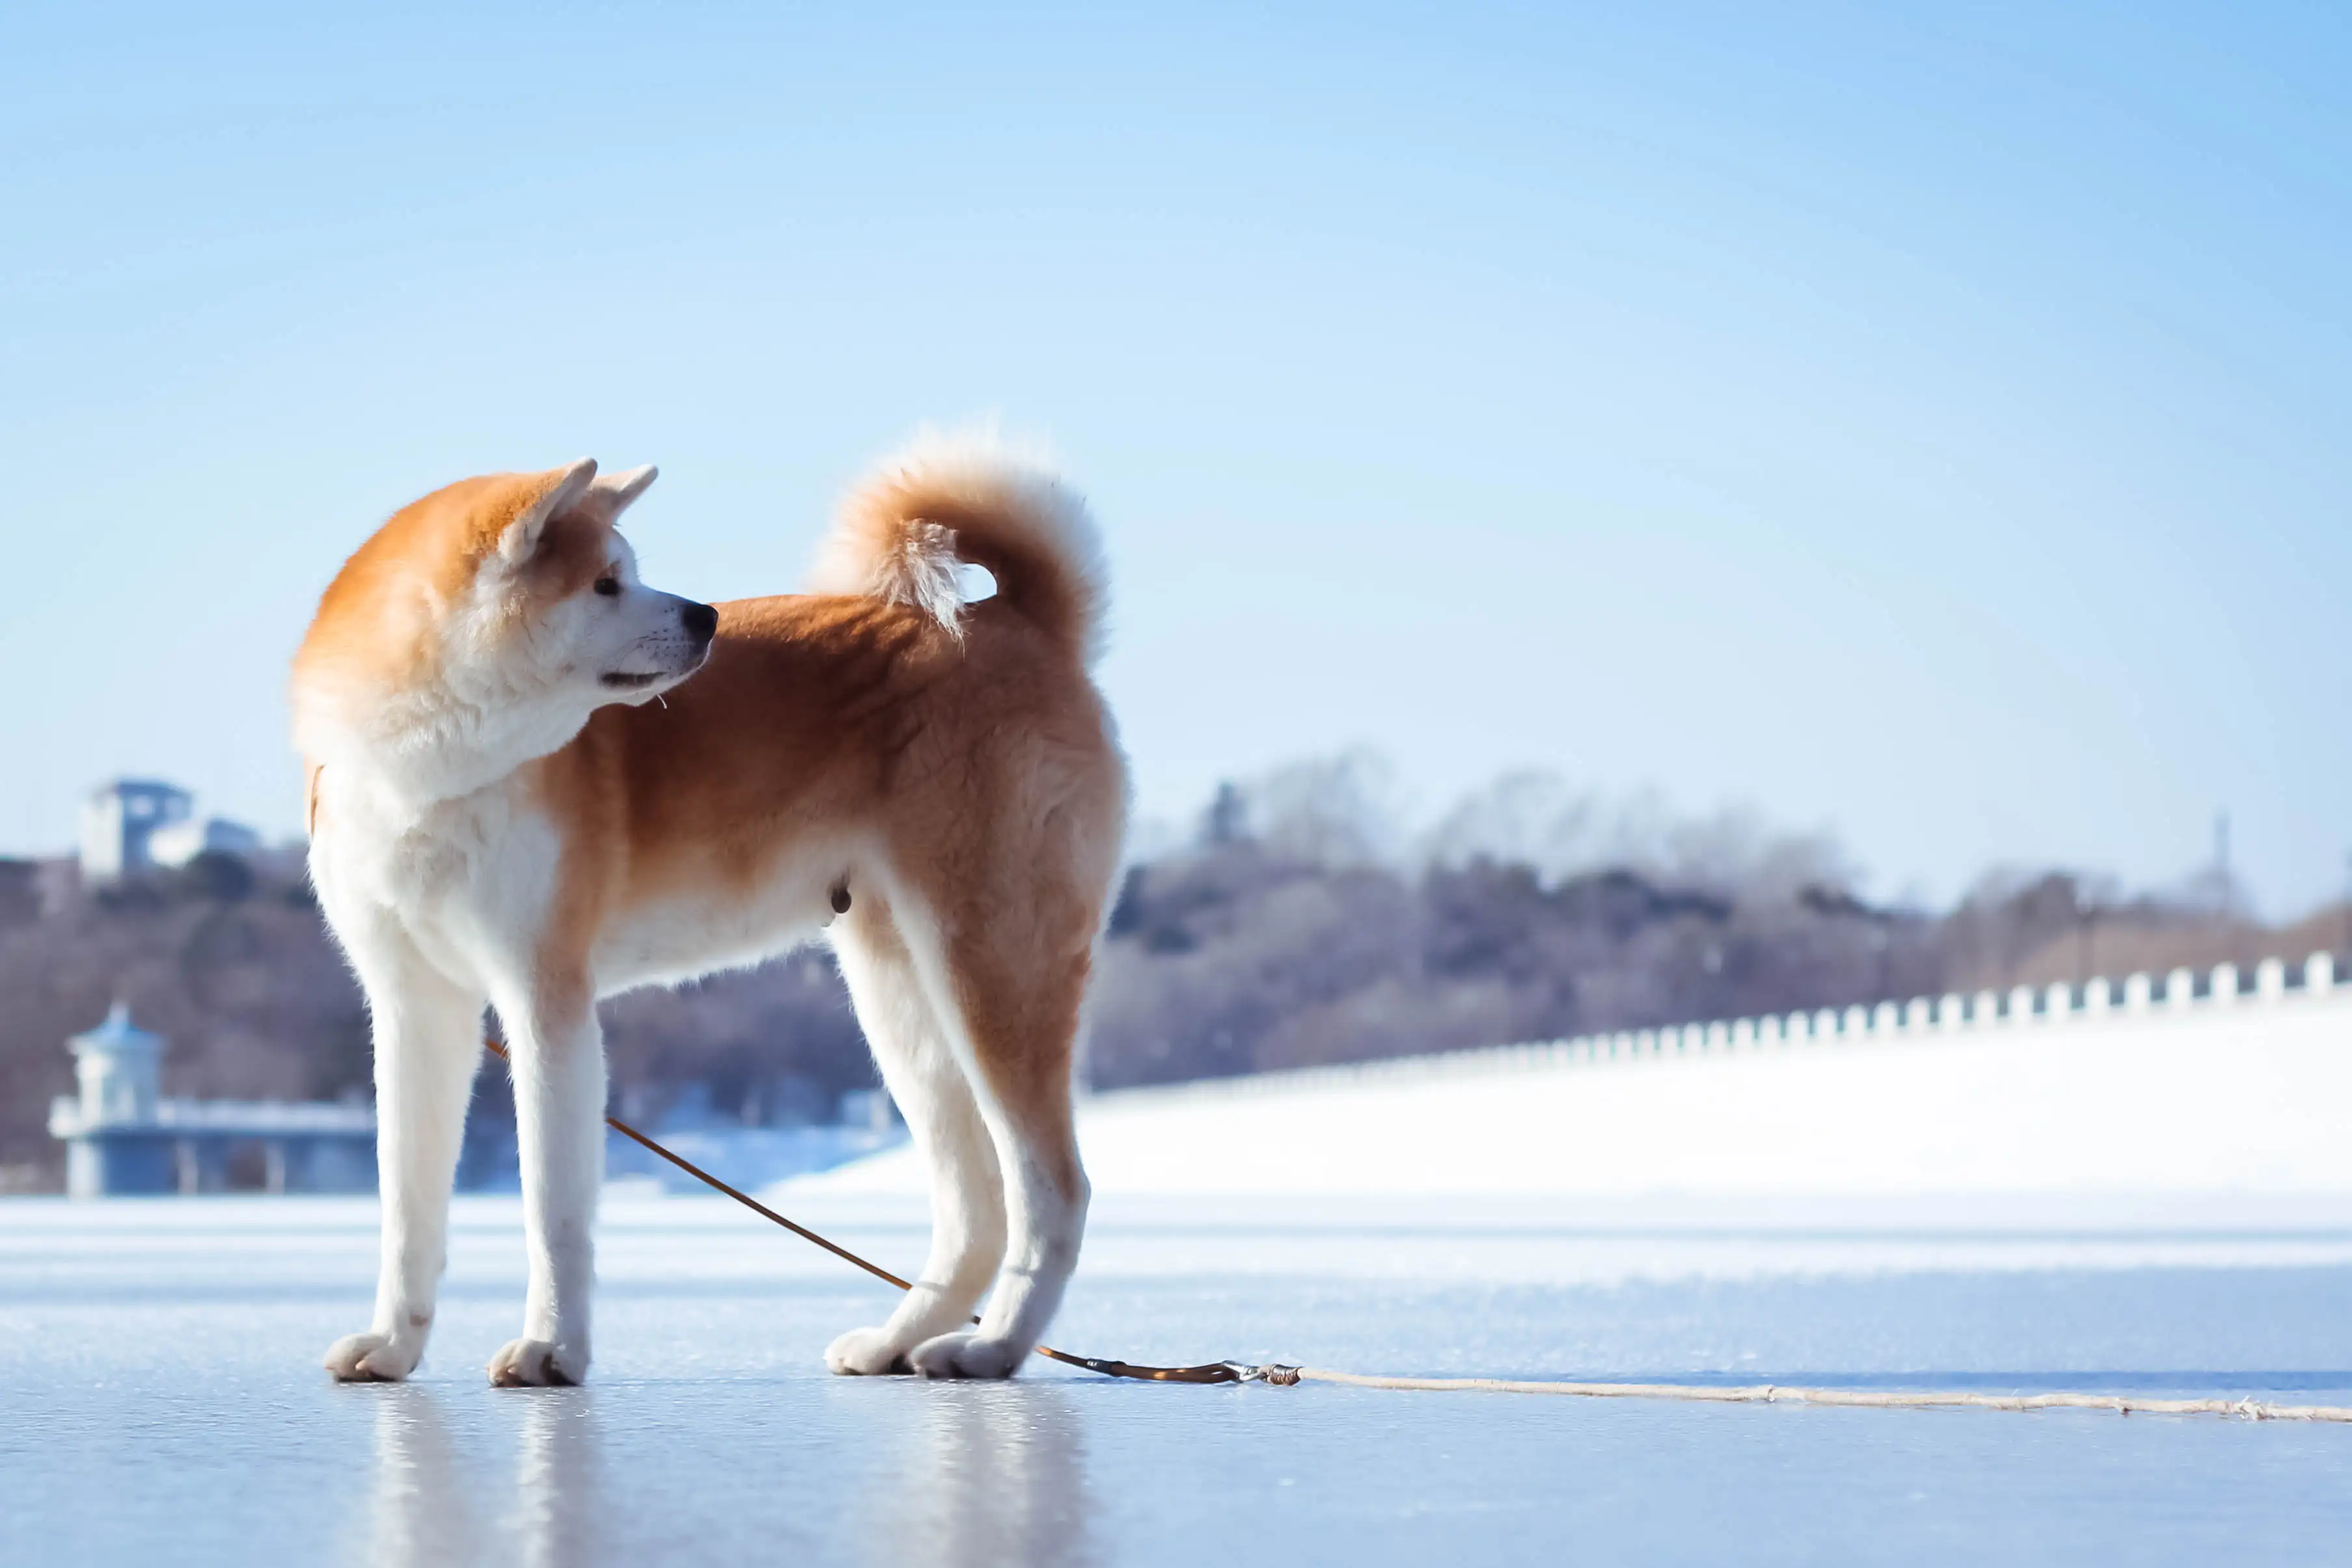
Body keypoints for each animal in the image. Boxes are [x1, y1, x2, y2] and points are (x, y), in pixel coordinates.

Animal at [296, 442, 1129, 1382]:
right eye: (605, 583)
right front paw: (393, 1344)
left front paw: (552, 1347)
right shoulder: (414, 1007)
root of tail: (1023, 622)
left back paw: (995, 1345)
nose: (707, 617)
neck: (431, 776)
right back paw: (899, 1338)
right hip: (902, 998)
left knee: (1052, 1189)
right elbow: (407, 1209)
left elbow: (552, 1207)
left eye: (627, 568)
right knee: (977, 1205)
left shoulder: (545, 998)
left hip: (988, 968)